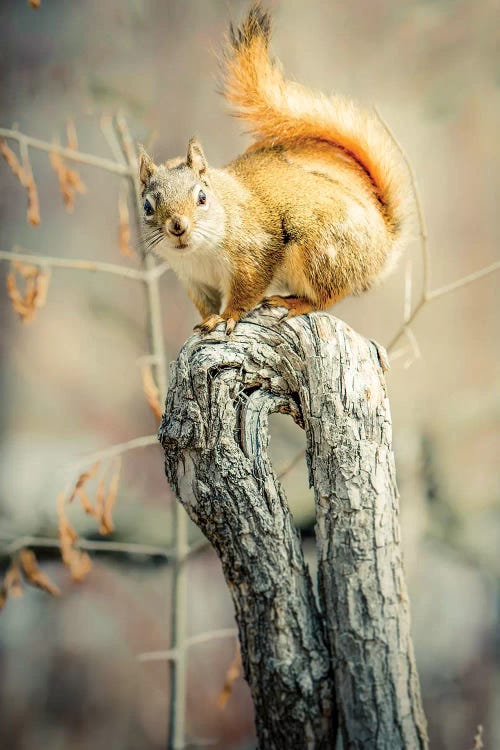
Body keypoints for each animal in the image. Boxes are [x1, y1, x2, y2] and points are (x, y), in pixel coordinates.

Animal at [139, 3, 413, 334]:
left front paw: (228, 316)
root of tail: (383, 247)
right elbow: (205, 307)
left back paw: (295, 303)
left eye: (202, 197)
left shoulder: (255, 251)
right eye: (147, 206)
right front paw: (208, 320)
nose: (177, 226)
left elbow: (247, 291)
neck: (199, 252)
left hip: (319, 252)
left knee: (327, 296)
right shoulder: (195, 281)